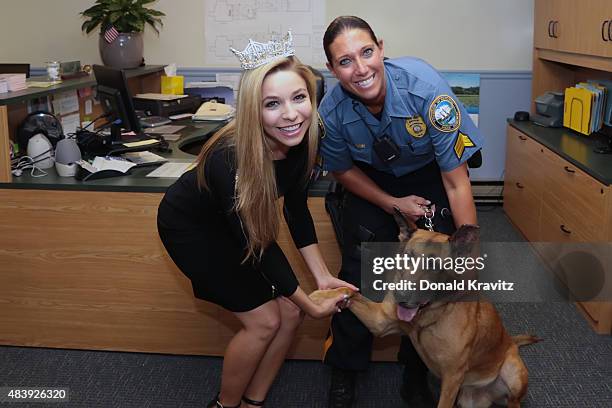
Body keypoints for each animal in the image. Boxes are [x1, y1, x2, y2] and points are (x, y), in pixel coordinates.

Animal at [310, 214, 540, 408]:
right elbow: (348, 290)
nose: (401, 297)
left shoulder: (452, 379)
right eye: (407, 256)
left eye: (433, 264)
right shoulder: (379, 322)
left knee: (514, 402)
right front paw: (320, 297)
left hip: (513, 372)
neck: (429, 315)